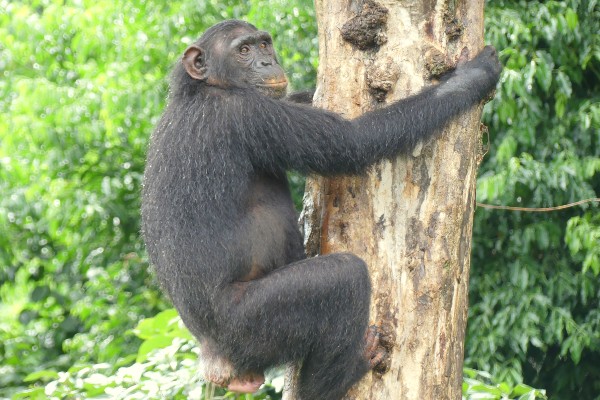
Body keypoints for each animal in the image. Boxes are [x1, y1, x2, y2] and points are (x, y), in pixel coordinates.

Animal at [142, 19, 502, 400]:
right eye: (243, 50)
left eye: (264, 44)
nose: (267, 62)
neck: (203, 89)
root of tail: (216, 362)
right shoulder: (249, 114)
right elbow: (354, 142)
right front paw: (474, 76)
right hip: (250, 328)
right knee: (345, 279)